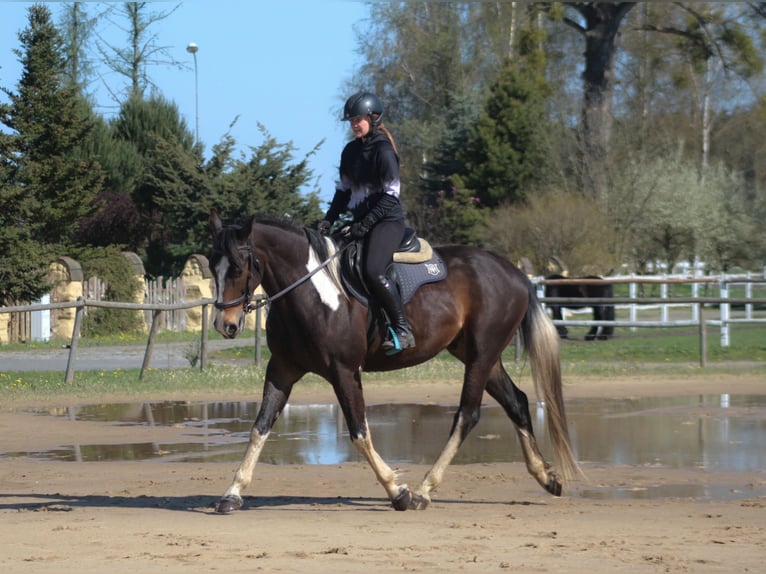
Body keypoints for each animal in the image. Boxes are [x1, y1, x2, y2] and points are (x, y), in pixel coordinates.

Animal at [208, 208, 581, 514]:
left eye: (238, 267)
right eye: (213, 267)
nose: (225, 325)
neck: (315, 293)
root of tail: (515, 274)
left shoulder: (344, 372)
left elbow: (360, 433)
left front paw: (398, 491)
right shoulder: (282, 369)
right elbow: (259, 428)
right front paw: (232, 492)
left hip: (481, 355)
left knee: (467, 415)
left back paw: (424, 489)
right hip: (480, 357)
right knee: (516, 402)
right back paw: (546, 477)